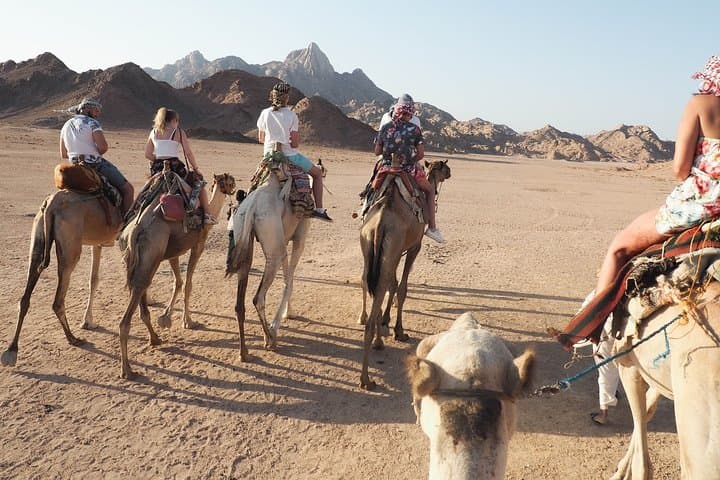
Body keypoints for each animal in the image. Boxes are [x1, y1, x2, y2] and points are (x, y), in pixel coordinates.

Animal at [1, 187, 123, 367]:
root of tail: (51, 203)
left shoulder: (98, 243)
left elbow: (93, 279)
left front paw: (88, 321)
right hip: (70, 246)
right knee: (58, 299)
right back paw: (73, 338)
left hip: (38, 235)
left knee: (26, 293)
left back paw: (12, 348)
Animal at [117, 173, 235, 379]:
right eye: (229, 181)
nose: (236, 186)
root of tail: (134, 232)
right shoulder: (198, 244)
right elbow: (187, 283)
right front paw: (188, 322)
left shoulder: (173, 253)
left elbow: (177, 282)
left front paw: (166, 318)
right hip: (152, 254)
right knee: (129, 314)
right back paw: (127, 370)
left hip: (139, 259)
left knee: (140, 289)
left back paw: (155, 338)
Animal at [226, 158, 311, 361]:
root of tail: (253, 206)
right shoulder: (299, 237)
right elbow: (289, 281)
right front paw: (279, 322)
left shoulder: (285, 239)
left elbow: (288, 279)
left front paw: (289, 313)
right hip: (274, 250)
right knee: (258, 297)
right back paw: (270, 339)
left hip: (245, 240)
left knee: (240, 303)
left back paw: (244, 352)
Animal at [359, 159, 451, 390]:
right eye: (443, 166)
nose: (450, 172)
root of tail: (380, 222)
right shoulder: (414, 246)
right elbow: (402, 288)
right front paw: (399, 330)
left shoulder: (395, 252)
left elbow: (393, 283)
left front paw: (387, 320)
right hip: (393, 246)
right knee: (381, 291)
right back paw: (367, 378)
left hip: (369, 246)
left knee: (369, 281)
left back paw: (373, 332)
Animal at [609, 280, 720, 480]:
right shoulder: (662, 375)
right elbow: (648, 408)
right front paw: (622, 470)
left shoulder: (628, 364)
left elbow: (640, 416)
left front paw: (622, 473)